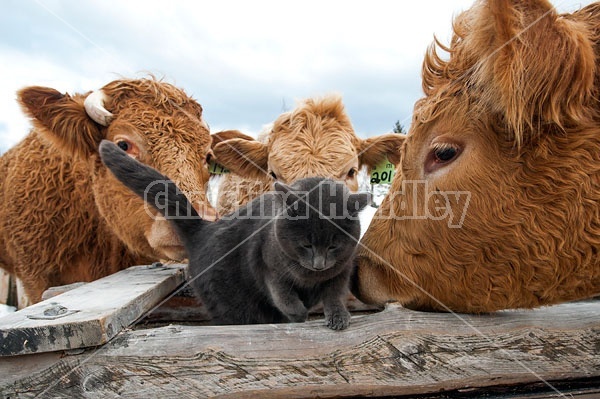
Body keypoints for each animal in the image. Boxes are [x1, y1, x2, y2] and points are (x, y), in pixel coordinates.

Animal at [99, 141, 366, 332]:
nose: (319, 264)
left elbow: (334, 294)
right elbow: (283, 294)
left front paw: (339, 316)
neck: (309, 277)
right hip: (230, 302)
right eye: (306, 245)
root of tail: (203, 230)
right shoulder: (267, 266)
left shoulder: (341, 272)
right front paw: (298, 315)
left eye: (333, 246)